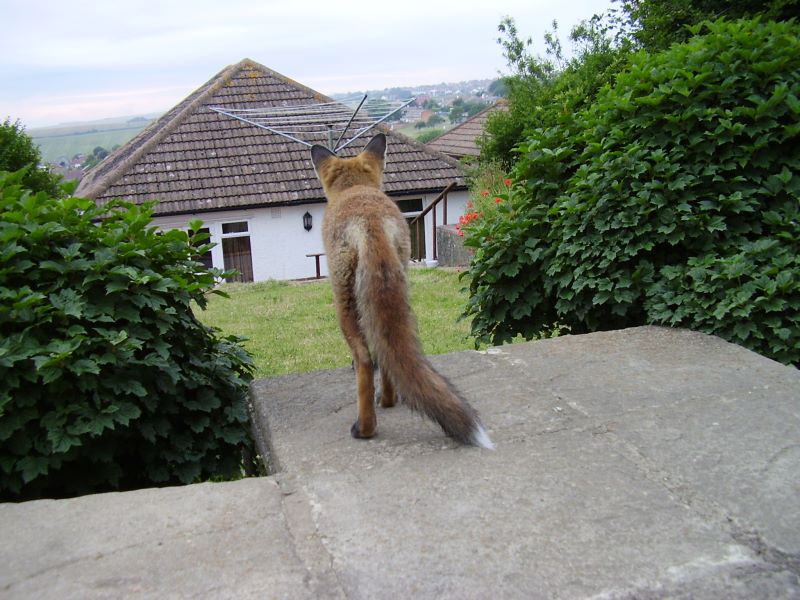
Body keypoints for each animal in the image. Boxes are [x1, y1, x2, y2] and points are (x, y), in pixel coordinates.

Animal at [310, 132, 494, 450]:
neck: (355, 189)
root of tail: (369, 221)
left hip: (344, 305)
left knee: (366, 360)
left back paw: (366, 428)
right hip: (400, 288)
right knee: (387, 355)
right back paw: (387, 400)